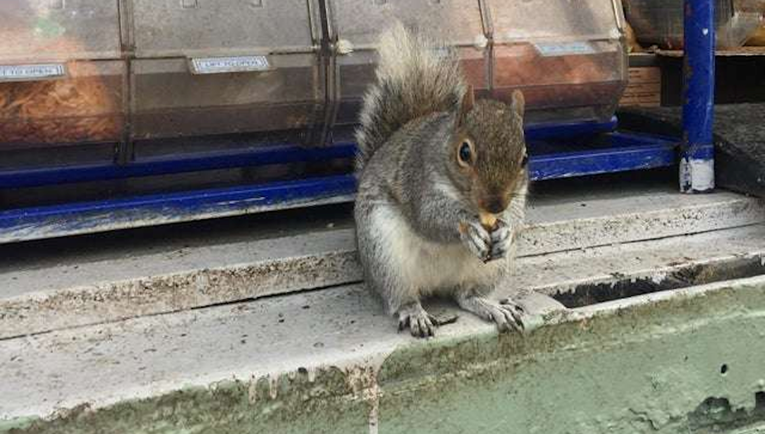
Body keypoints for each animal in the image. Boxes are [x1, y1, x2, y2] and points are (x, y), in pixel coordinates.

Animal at [354, 22, 528, 338]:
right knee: (401, 297)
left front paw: (507, 231)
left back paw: (491, 306)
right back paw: (414, 313)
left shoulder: (518, 196)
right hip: (385, 255)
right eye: (464, 152)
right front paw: (468, 227)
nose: (495, 205)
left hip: (490, 270)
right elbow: (430, 216)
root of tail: (436, 284)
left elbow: (517, 216)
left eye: (525, 158)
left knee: (466, 295)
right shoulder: (418, 179)